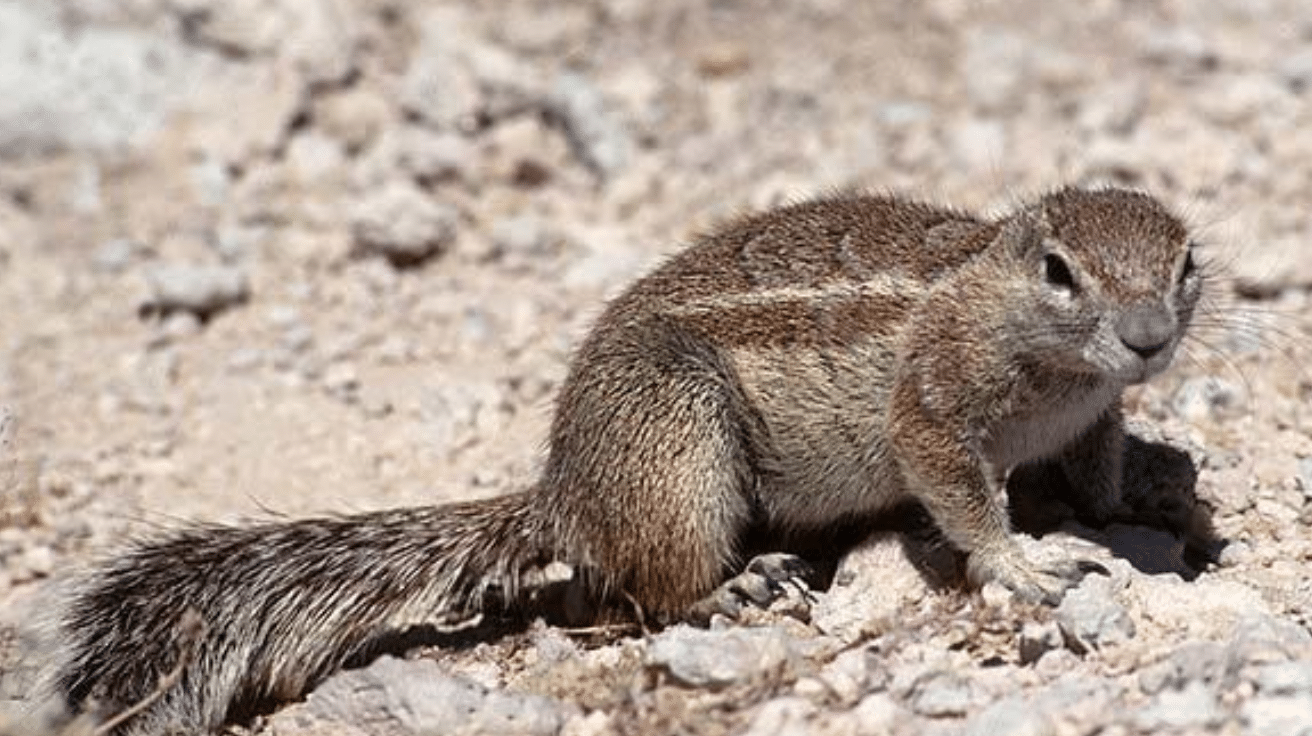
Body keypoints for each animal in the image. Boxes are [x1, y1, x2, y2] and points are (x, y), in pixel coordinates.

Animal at [48, 184, 1201, 729]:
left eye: (1187, 261)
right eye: (1059, 271)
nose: (1149, 339)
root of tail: (566, 490)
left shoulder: (1092, 416)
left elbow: (1099, 468)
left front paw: (1142, 504)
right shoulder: (931, 402)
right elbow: (956, 492)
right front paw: (1026, 564)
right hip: (677, 443)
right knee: (651, 587)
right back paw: (735, 588)